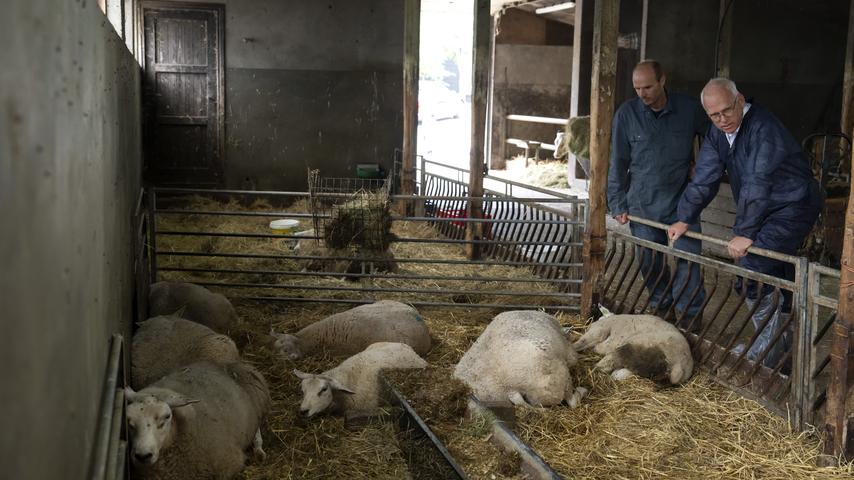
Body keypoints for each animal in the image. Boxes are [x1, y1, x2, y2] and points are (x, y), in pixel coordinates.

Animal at [123, 362, 270, 478]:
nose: (142, 456)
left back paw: (259, 450)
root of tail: (225, 364)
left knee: (256, 427)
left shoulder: (229, 465)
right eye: (129, 421)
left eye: (167, 416)